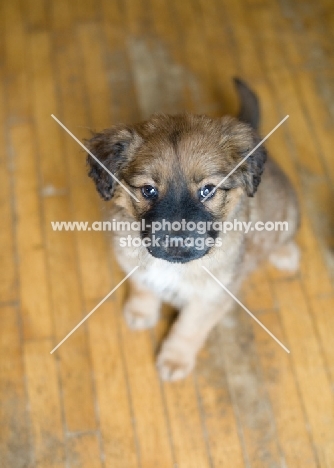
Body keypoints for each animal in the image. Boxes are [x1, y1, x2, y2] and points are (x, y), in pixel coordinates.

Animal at [86, 79, 300, 380]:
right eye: (148, 190)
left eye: (207, 190)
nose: (177, 245)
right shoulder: (134, 264)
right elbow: (142, 287)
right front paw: (140, 312)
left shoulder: (211, 296)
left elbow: (189, 328)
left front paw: (175, 360)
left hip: (288, 215)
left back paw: (286, 254)